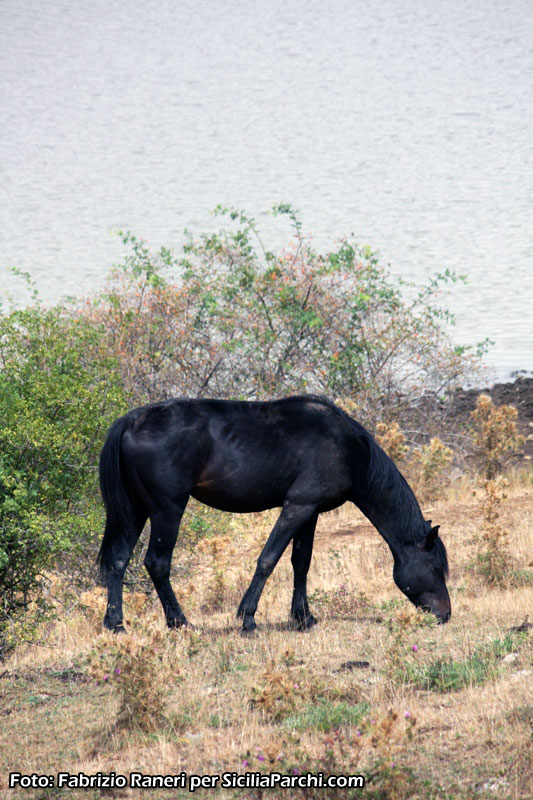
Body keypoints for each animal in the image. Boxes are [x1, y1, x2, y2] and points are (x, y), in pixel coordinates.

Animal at [98, 394, 448, 632]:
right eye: (436, 568)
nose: (445, 614)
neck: (346, 449)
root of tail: (132, 420)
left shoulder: (311, 512)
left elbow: (301, 562)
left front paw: (303, 618)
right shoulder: (297, 507)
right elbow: (268, 560)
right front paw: (248, 618)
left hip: (135, 510)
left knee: (118, 560)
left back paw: (115, 623)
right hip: (167, 510)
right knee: (157, 564)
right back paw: (180, 621)